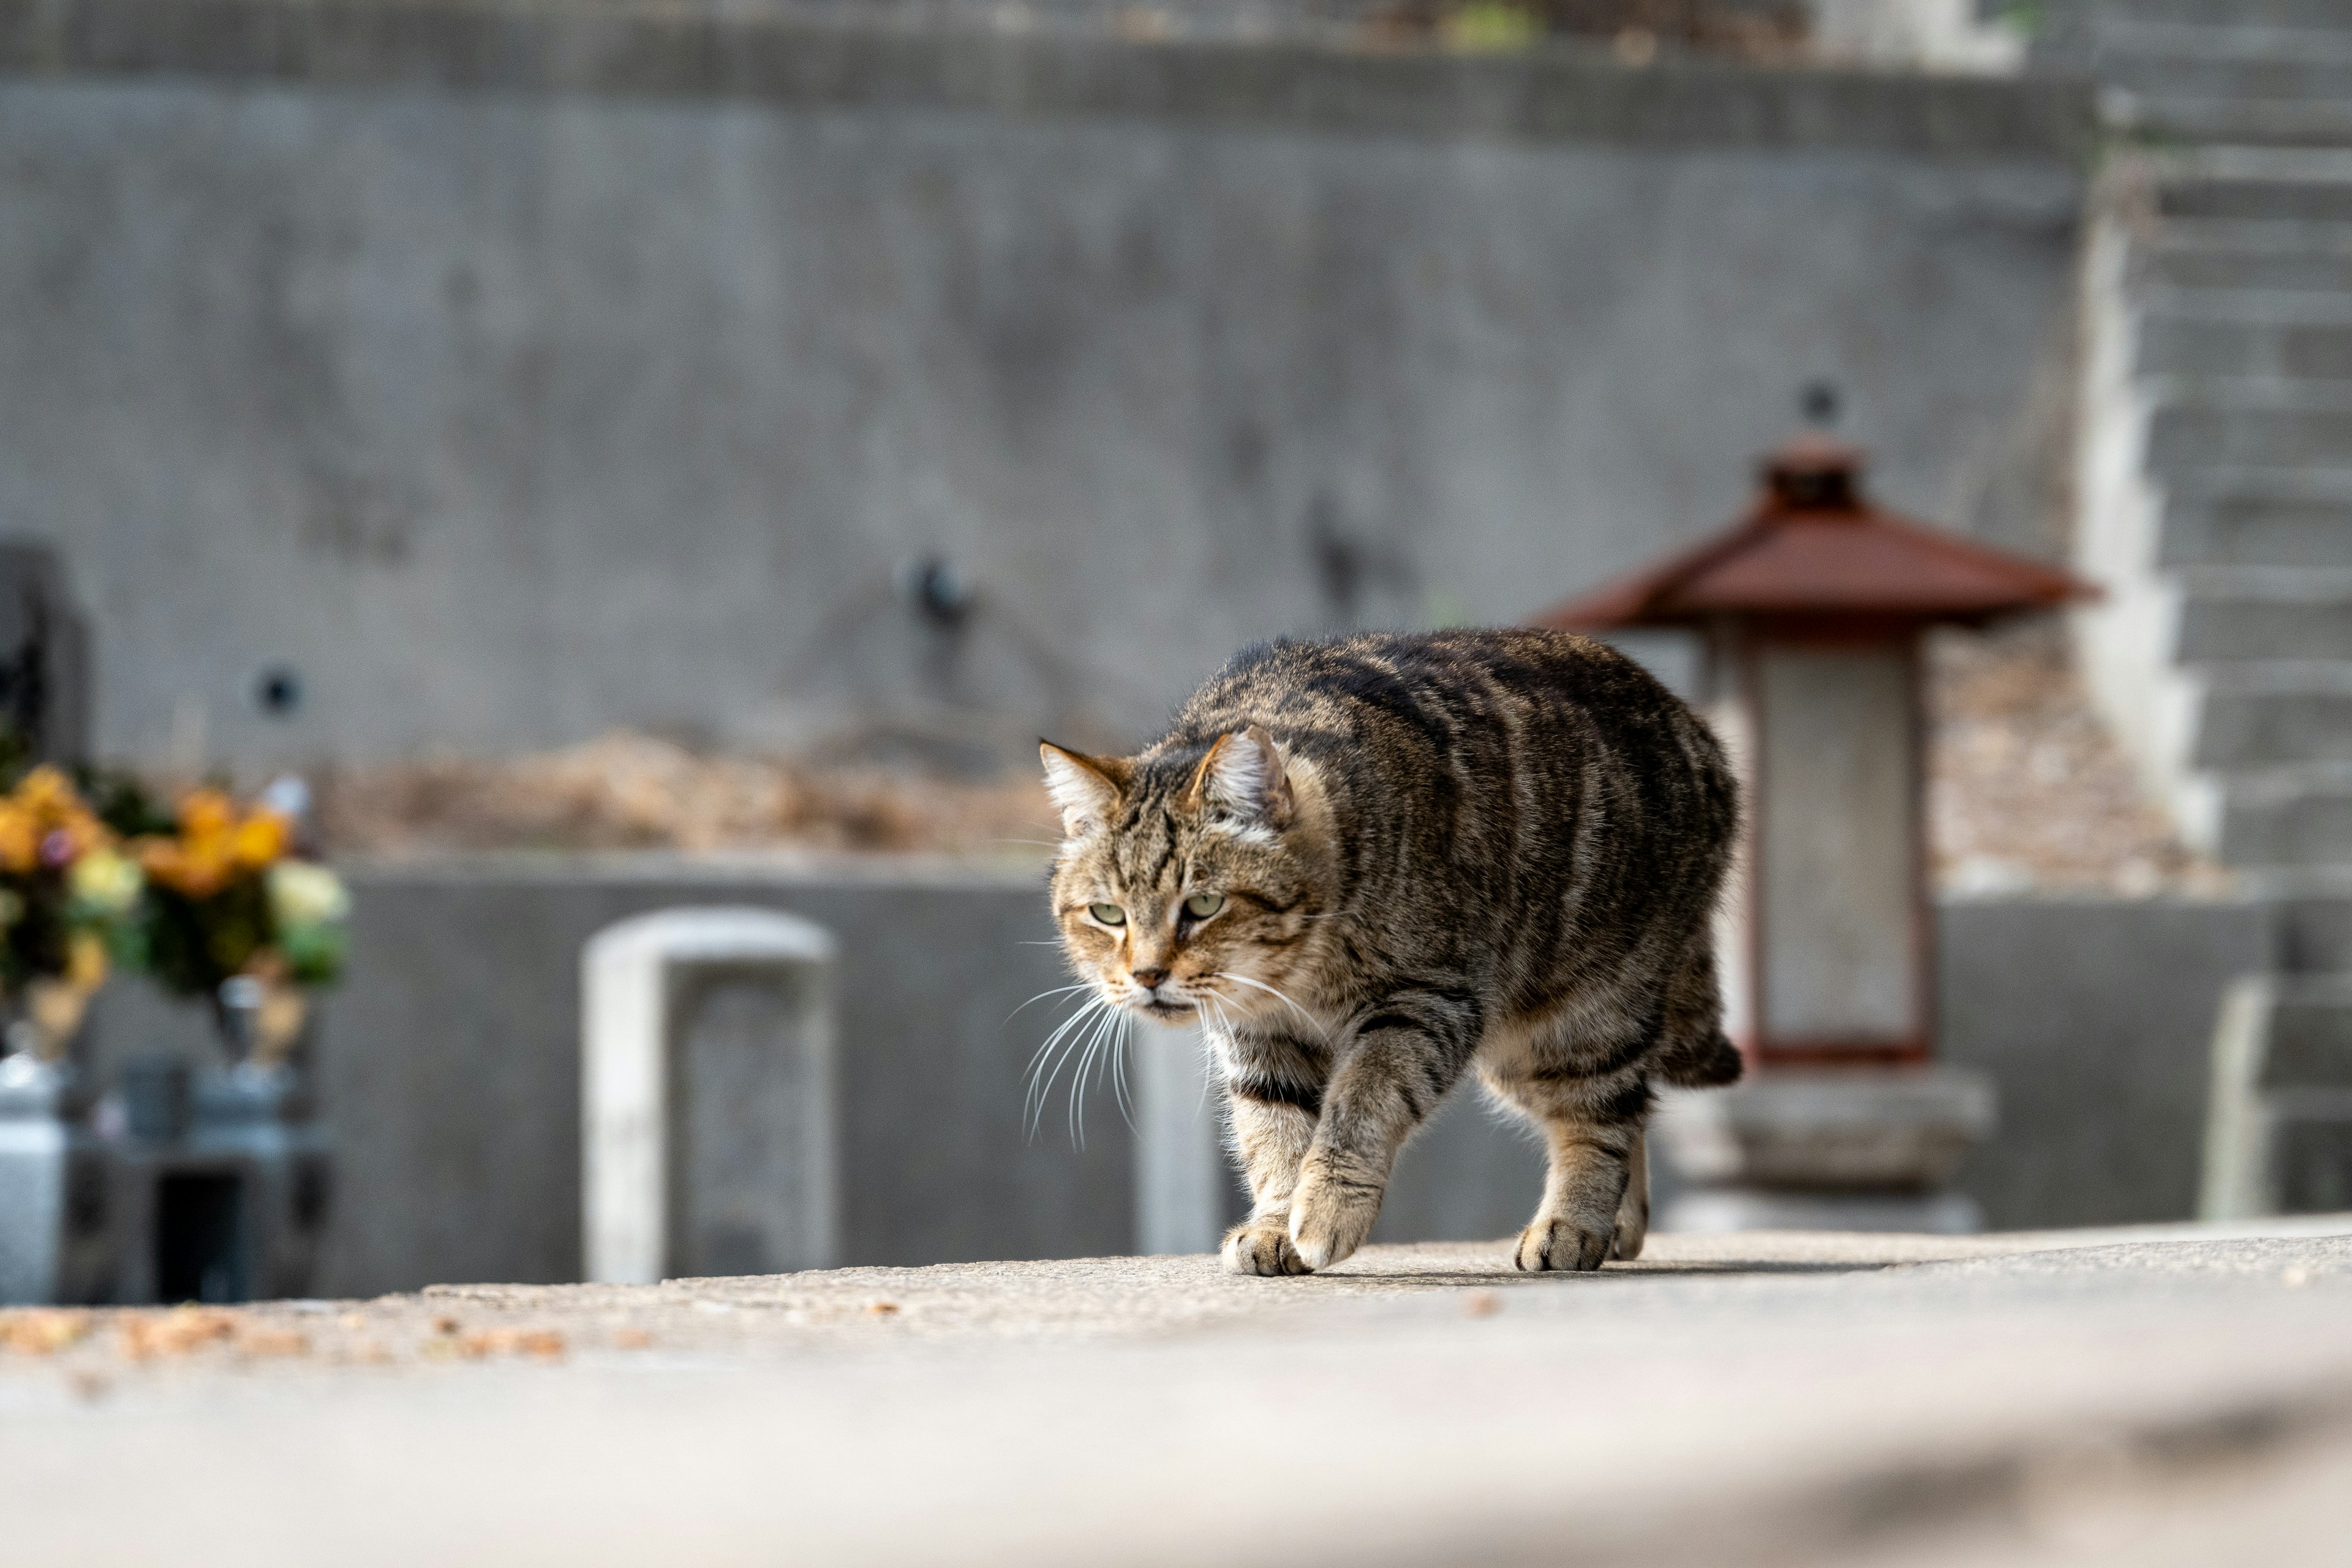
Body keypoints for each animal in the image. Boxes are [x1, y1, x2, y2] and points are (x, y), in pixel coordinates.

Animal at [1039, 625, 1740, 1278]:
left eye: (1204, 906)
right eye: (1108, 914)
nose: (1148, 974)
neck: (1298, 976)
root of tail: (1698, 731)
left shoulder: (1423, 1001)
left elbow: (1360, 1105)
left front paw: (1326, 1210)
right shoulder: (1261, 1040)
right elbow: (1274, 1134)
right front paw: (1275, 1224)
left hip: (1581, 1020)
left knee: (1600, 1120)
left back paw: (1573, 1225)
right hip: (1518, 1053)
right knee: (1632, 1109)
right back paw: (1619, 1226)